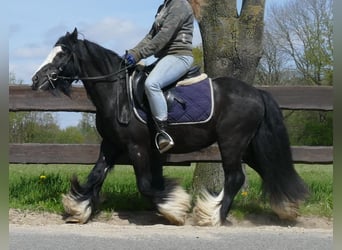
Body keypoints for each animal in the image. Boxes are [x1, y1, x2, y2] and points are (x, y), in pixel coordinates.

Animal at [32, 28, 310, 226]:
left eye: (62, 54)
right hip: (249, 145)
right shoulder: (111, 144)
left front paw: (174, 208)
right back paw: (287, 208)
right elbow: (96, 175)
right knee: (269, 169)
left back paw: (213, 216)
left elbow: (145, 185)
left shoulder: (137, 147)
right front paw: (79, 209)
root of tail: (256, 93)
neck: (117, 93)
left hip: (232, 142)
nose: (36, 80)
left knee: (235, 177)